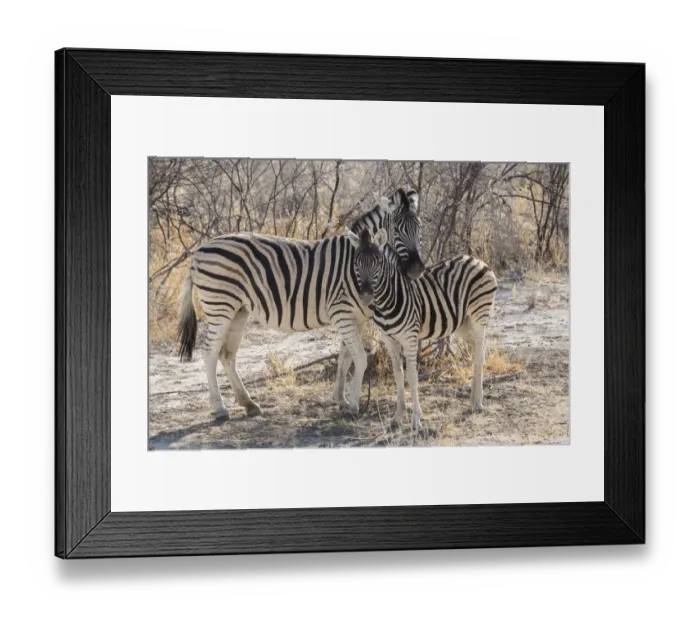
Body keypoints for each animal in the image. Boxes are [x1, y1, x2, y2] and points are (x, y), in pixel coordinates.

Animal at [177, 188, 425, 421]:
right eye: (398, 229)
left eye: (420, 228)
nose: (416, 269)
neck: (356, 263)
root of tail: (198, 252)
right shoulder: (341, 313)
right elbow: (360, 358)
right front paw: (353, 405)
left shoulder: (357, 317)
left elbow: (345, 358)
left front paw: (340, 399)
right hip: (220, 306)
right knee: (209, 352)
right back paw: (220, 408)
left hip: (238, 310)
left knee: (226, 354)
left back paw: (249, 403)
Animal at [347, 224, 498, 431]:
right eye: (357, 263)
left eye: (377, 263)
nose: (366, 296)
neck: (388, 300)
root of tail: (476, 259)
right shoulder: (390, 340)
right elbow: (398, 374)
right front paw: (397, 417)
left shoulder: (410, 337)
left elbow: (412, 375)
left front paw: (416, 420)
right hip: (464, 324)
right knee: (477, 352)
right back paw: (473, 401)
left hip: (479, 316)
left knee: (480, 355)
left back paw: (479, 402)